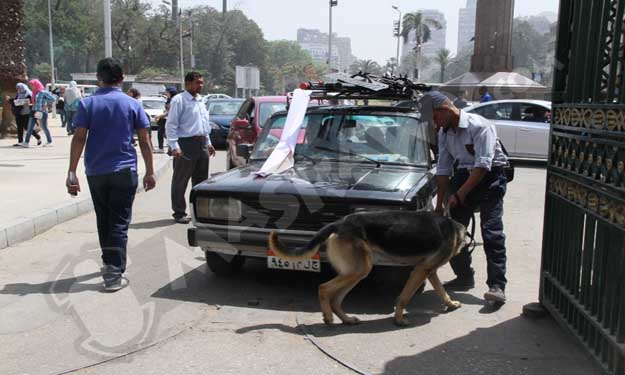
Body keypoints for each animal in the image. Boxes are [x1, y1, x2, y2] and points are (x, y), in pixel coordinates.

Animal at [268, 212, 468, 326]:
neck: (453, 228)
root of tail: (340, 223)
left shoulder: (429, 271)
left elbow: (442, 291)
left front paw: (451, 304)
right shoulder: (420, 271)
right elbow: (403, 298)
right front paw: (399, 319)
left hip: (357, 272)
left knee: (336, 299)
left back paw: (347, 319)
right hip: (359, 270)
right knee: (323, 288)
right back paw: (329, 318)